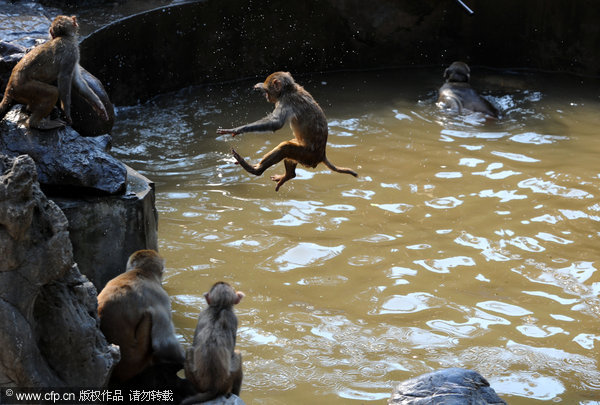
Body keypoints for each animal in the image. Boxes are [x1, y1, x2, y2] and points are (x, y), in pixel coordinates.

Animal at [216, 71, 356, 191]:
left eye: (268, 92)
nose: (266, 96)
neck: (289, 90)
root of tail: (322, 154)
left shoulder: (286, 101)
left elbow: (275, 123)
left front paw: (238, 129)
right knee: (289, 147)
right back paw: (289, 175)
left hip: (307, 155)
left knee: (285, 147)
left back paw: (256, 170)